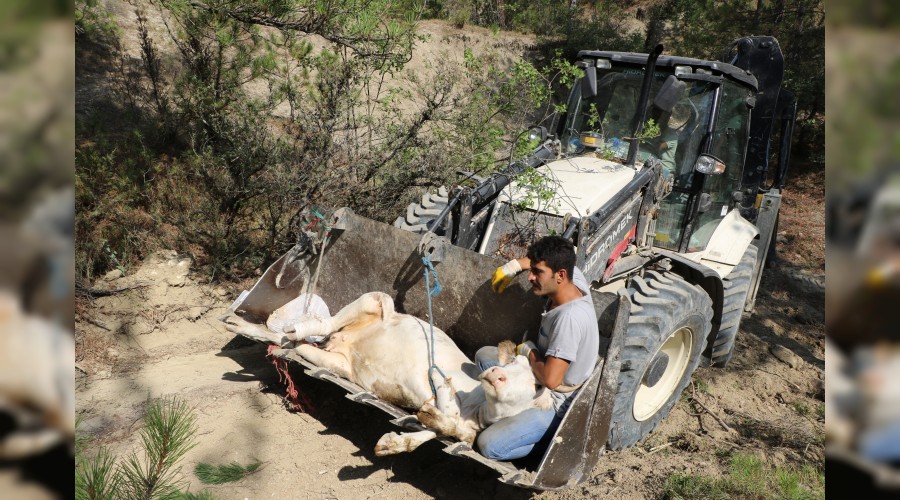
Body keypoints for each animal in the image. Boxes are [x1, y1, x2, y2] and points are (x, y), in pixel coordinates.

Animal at [221, 292, 552, 456]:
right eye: (512, 365)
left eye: (533, 384)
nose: (495, 373)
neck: (475, 410)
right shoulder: (431, 377)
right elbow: (443, 406)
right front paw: (440, 403)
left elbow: (437, 432)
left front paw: (393, 443)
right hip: (376, 300)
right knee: (321, 326)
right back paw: (293, 326)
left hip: (337, 362)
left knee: (285, 342)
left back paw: (248, 330)